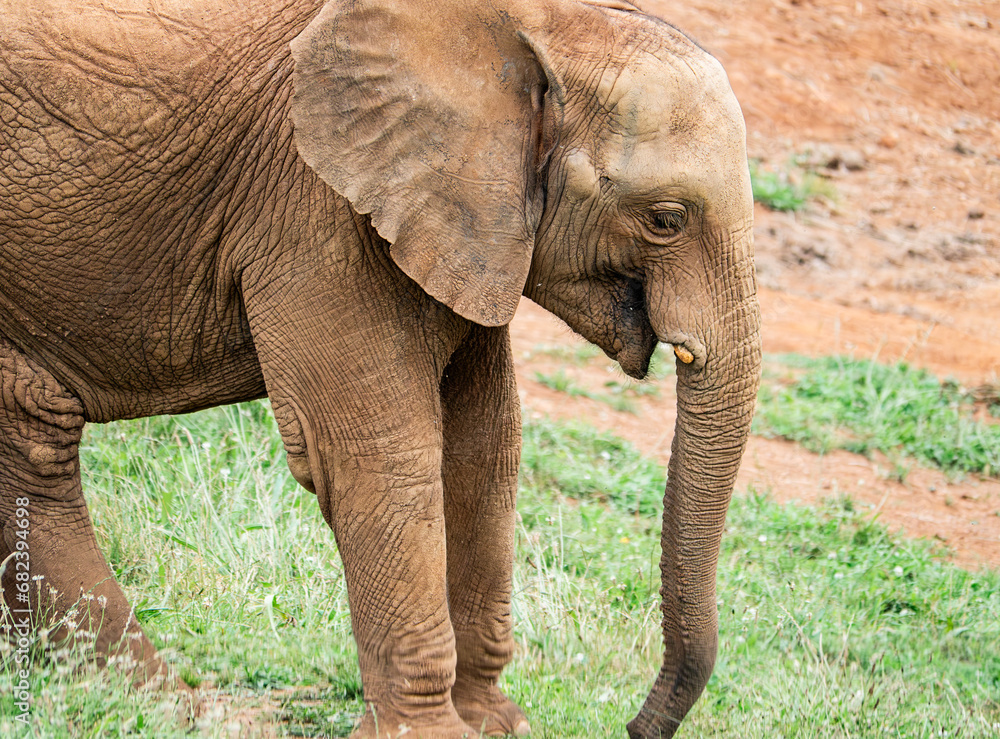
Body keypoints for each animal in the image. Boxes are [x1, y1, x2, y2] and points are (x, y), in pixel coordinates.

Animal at [0, 0, 761, 736]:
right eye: (666, 218)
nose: (634, 726)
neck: (535, 24)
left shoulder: (459, 223)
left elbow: (486, 449)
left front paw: (496, 723)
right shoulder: (316, 209)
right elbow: (378, 456)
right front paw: (433, 734)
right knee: (36, 438)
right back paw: (178, 709)